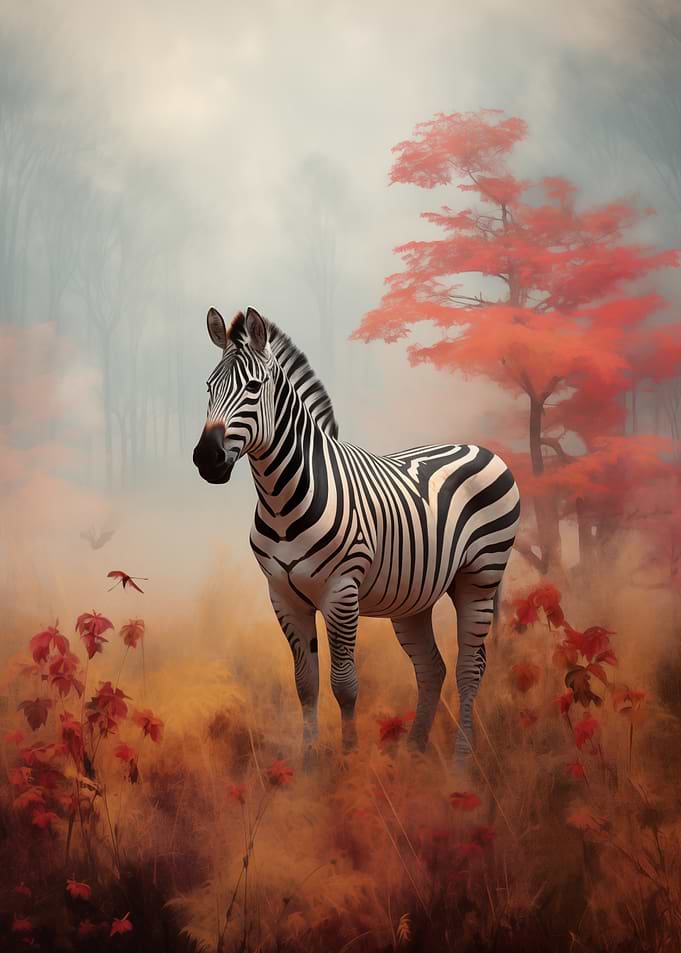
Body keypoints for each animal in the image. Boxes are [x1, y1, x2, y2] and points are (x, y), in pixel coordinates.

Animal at [193, 306, 520, 763]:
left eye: (254, 388)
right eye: (209, 387)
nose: (206, 458)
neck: (281, 498)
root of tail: (478, 447)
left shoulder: (341, 591)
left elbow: (344, 685)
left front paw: (347, 760)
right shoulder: (282, 595)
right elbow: (306, 684)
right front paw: (310, 763)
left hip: (480, 577)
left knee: (469, 668)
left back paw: (460, 762)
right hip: (413, 596)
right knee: (431, 667)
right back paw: (414, 754)